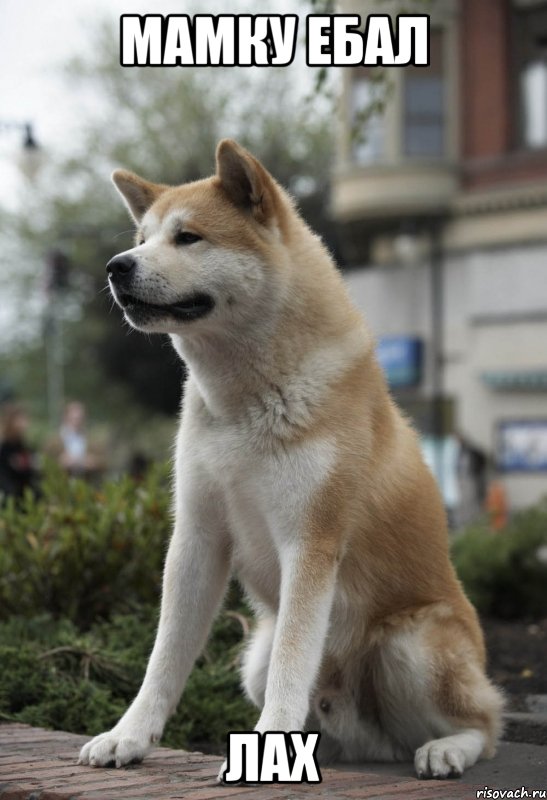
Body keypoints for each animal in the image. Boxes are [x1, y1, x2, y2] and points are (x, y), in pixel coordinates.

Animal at [78, 139, 506, 780]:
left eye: (188, 237)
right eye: (143, 236)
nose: (116, 265)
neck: (245, 402)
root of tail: (370, 741)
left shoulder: (311, 541)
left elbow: (292, 659)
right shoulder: (197, 538)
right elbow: (164, 658)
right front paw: (128, 735)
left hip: (410, 645)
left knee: (485, 726)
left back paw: (446, 749)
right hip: (253, 655)